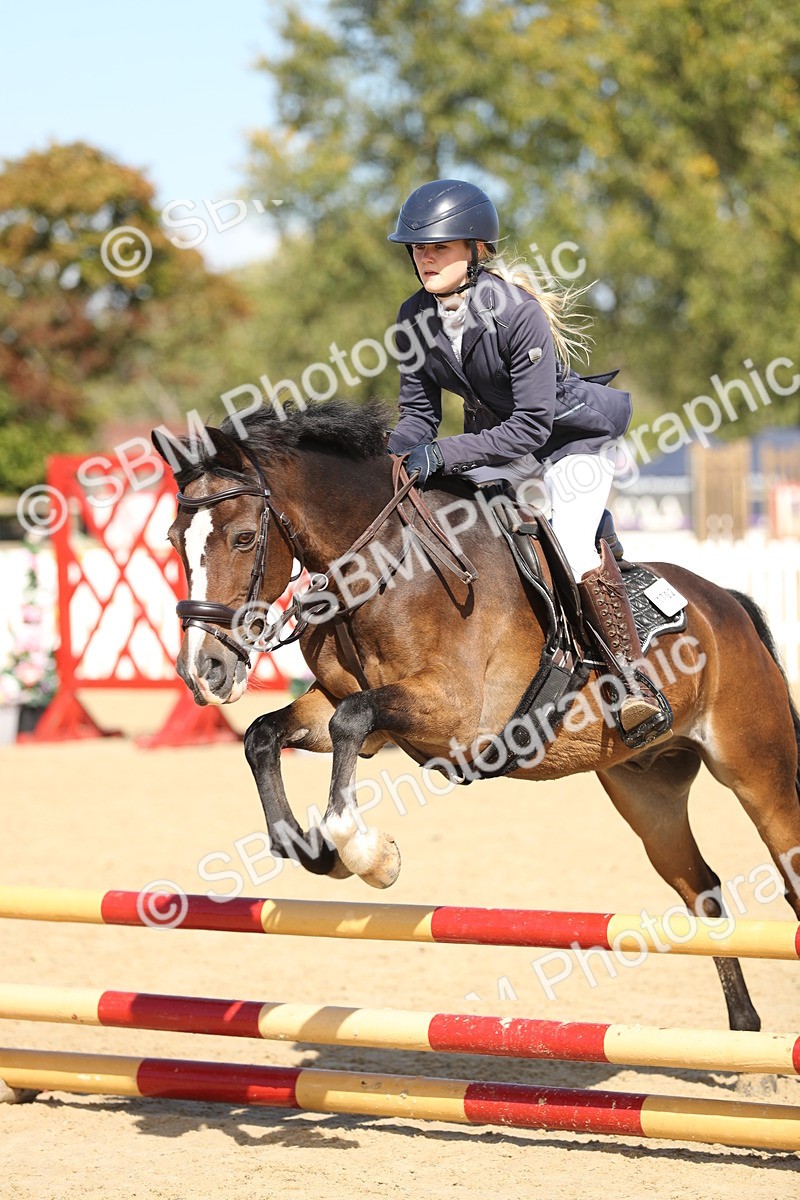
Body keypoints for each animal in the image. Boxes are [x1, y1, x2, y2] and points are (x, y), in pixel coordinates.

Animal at [153, 399, 800, 1033]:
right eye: (172, 538)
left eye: (242, 538)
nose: (203, 670)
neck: (388, 567)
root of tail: (727, 604)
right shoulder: (349, 708)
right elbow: (267, 734)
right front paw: (315, 852)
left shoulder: (459, 717)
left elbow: (350, 724)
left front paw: (370, 856)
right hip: (648, 791)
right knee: (701, 888)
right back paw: (744, 1032)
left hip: (756, 771)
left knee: (786, 868)